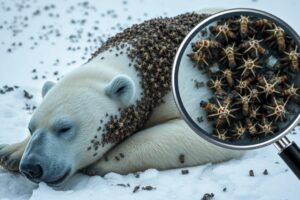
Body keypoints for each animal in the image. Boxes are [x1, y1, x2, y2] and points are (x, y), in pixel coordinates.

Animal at [0, 11, 241, 186]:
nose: (31, 167)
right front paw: (10, 152)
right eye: (31, 128)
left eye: (65, 128)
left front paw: (99, 164)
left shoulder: (190, 88)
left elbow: (197, 133)